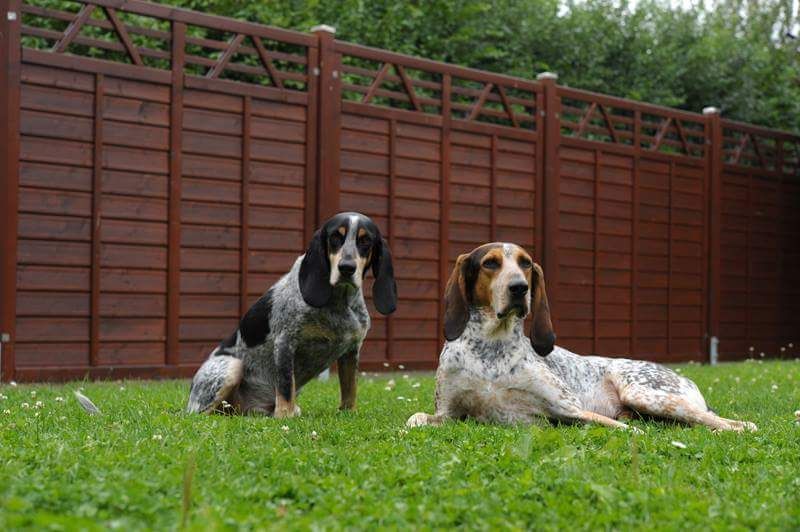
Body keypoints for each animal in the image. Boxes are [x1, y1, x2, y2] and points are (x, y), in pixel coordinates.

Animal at [188, 211, 400, 416]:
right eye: (334, 237)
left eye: (365, 241)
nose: (346, 268)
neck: (338, 303)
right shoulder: (285, 343)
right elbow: (285, 386)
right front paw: (284, 416)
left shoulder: (352, 350)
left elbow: (350, 388)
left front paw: (349, 413)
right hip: (232, 368)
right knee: (201, 413)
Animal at [406, 244, 756, 432]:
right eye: (490, 263)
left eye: (526, 263)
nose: (520, 288)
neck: (491, 349)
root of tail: (683, 377)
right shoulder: (448, 414)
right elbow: (415, 418)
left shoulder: (570, 409)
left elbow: (620, 428)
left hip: (648, 393)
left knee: (730, 423)